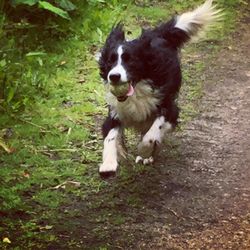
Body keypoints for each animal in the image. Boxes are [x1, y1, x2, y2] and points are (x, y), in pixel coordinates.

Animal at [97, 0, 221, 178]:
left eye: (130, 60)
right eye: (110, 61)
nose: (113, 76)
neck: (138, 90)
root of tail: (156, 35)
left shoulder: (168, 107)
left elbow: (153, 132)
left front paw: (144, 151)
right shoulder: (116, 112)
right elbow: (110, 137)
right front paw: (108, 165)